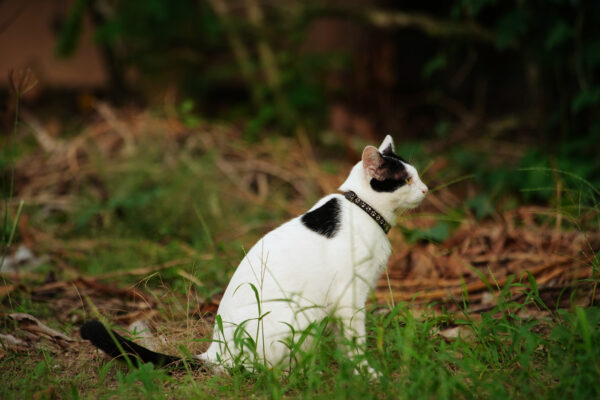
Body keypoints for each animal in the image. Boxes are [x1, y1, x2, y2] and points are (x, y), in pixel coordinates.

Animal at [81, 134, 426, 376]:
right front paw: (365, 373)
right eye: (406, 180)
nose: (425, 190)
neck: (364, 210)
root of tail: (214, 352)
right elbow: (355, 342)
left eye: (418, 176)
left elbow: (345, 342)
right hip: (297, 316)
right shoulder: (350, 296)